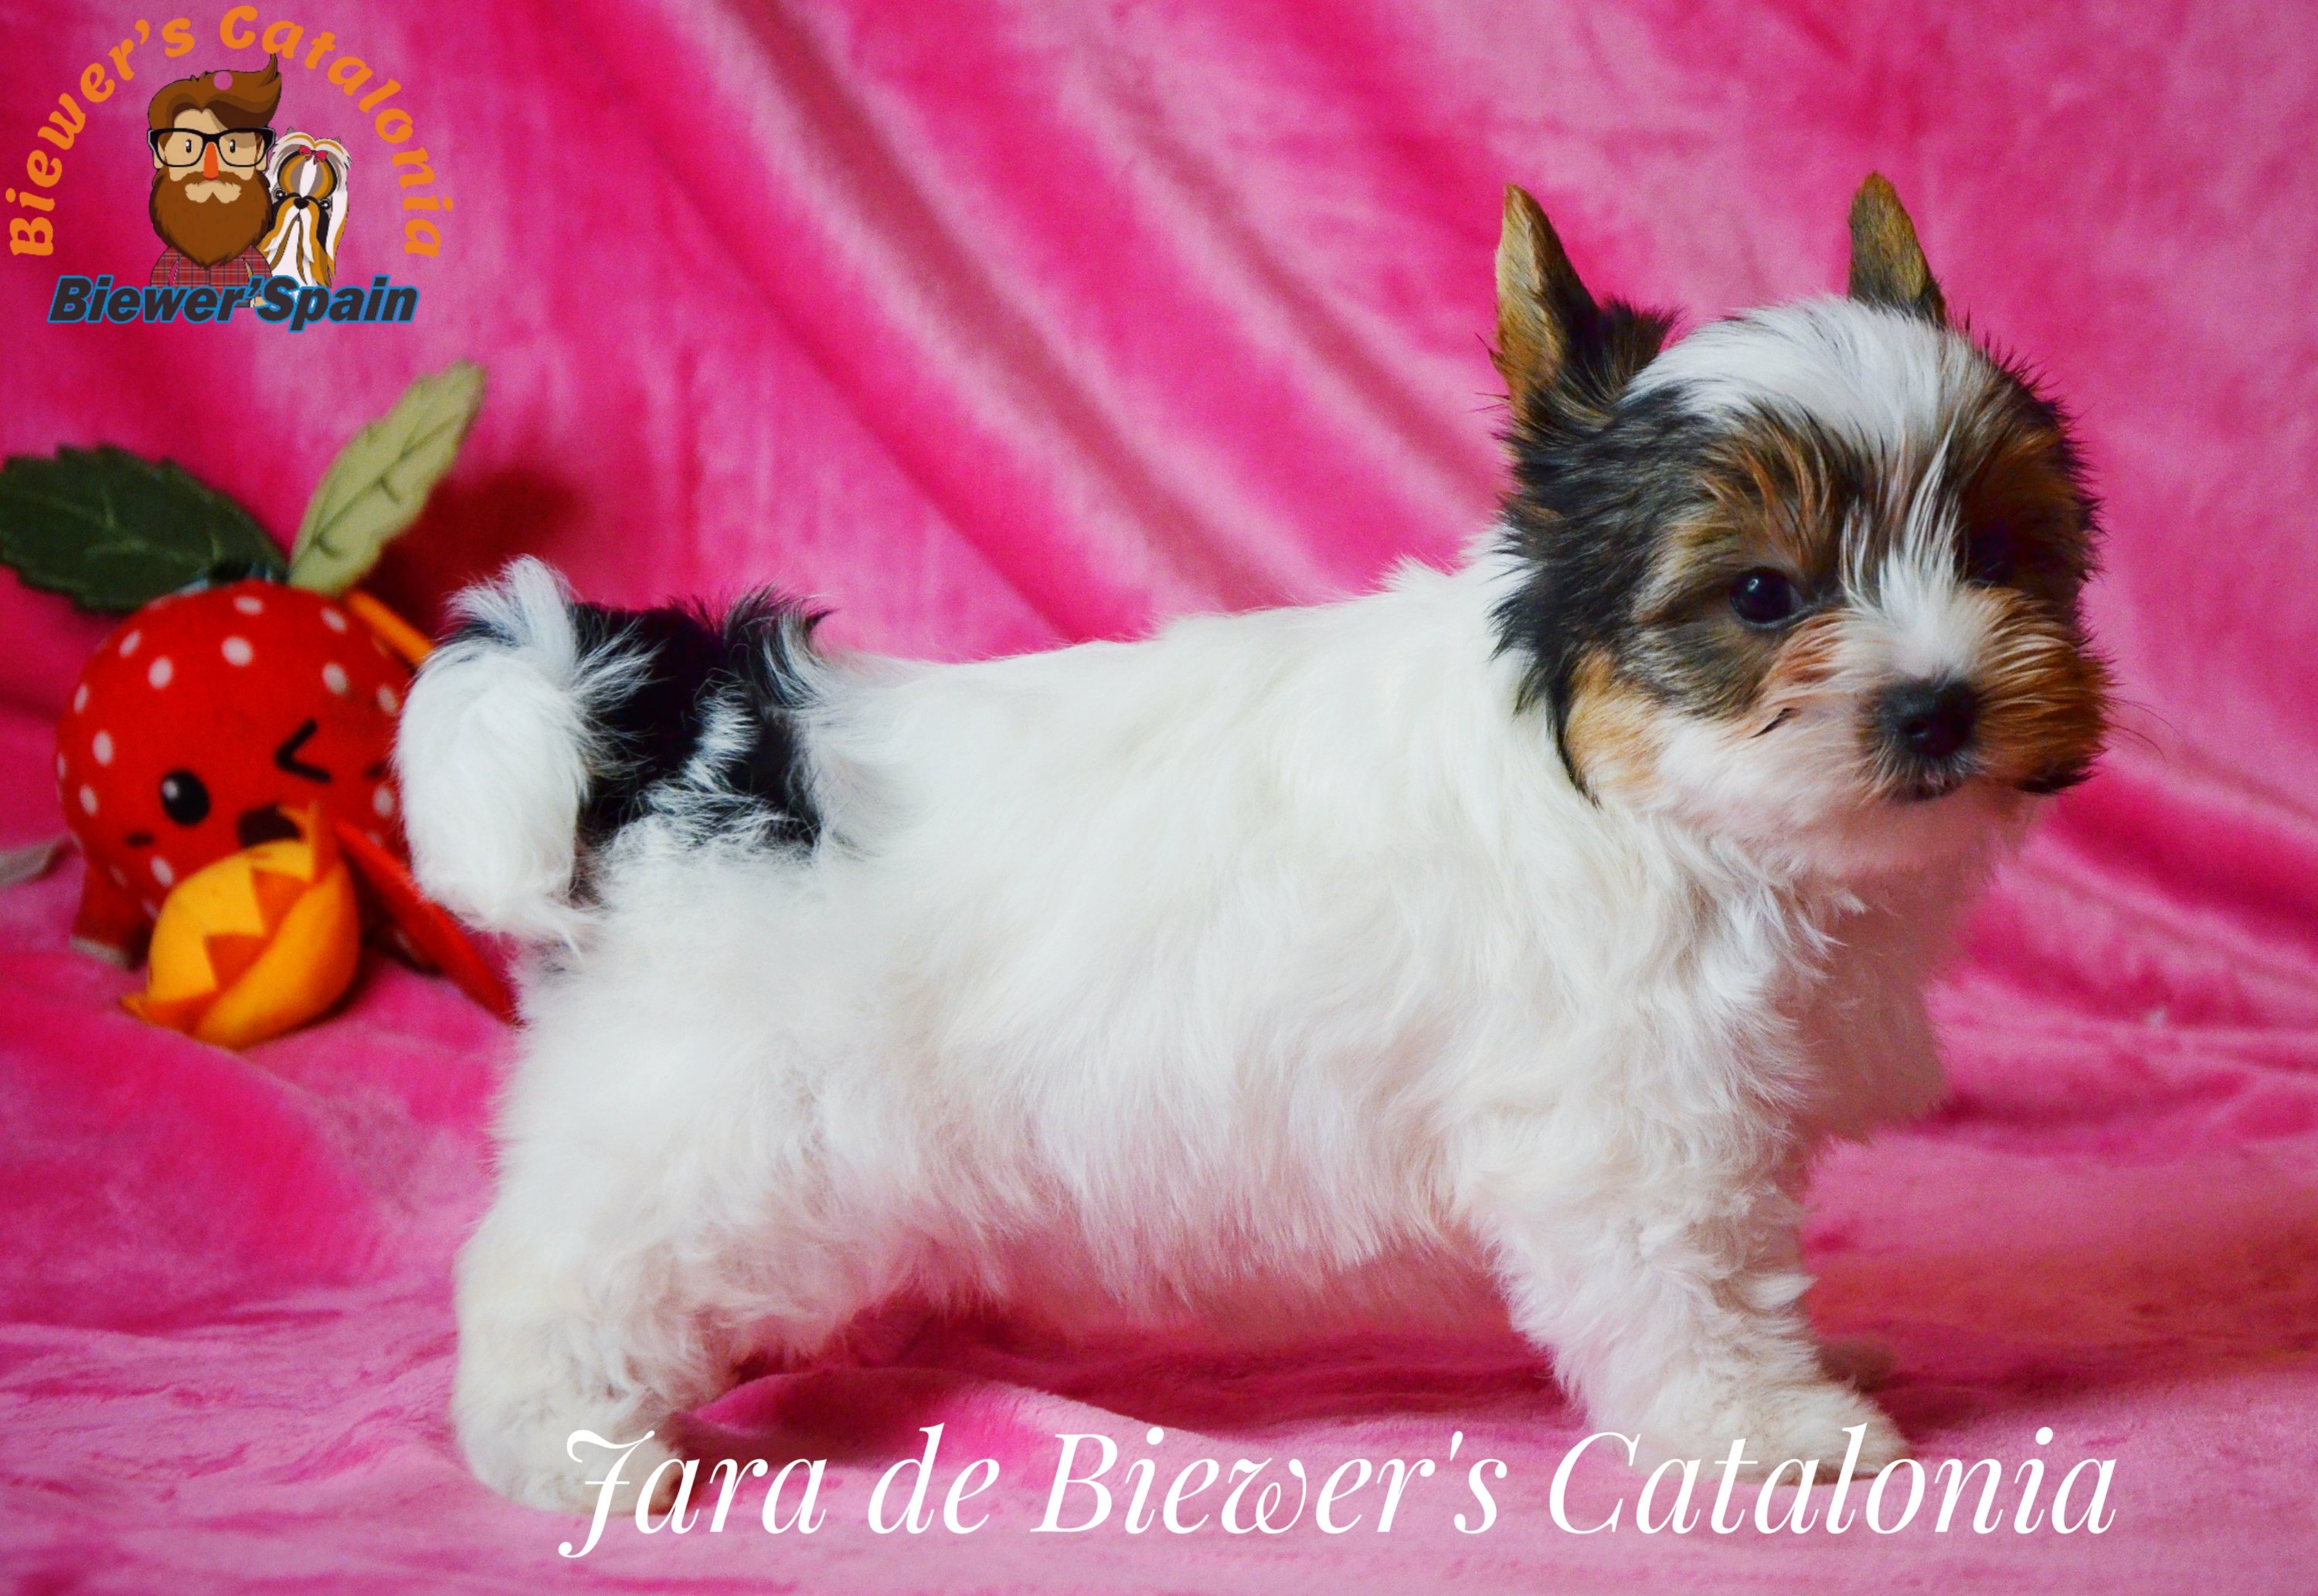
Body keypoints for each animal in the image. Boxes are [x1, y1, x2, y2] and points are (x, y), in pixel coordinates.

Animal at [398, 175, 2107, 1511]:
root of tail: (701, 723)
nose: (1941, 705)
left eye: (2001, 550)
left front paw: (1814, 1358)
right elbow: (1691, 1286)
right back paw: (563, 1445)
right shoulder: (1637, 1130)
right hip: (712, 1127)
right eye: (1763, 595)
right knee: (549, 1269)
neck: (1645, 794)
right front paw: (1763, 1422)